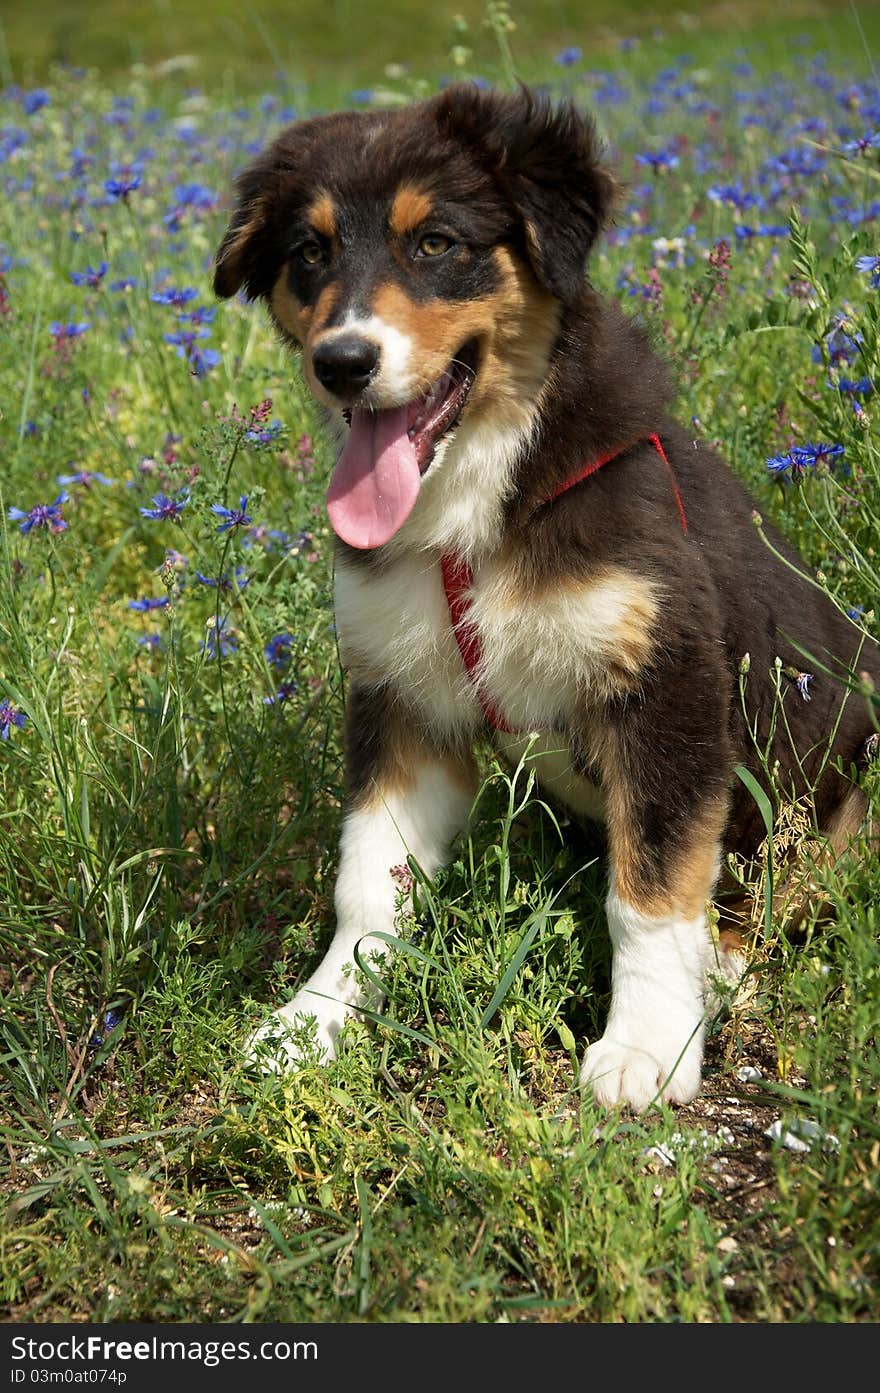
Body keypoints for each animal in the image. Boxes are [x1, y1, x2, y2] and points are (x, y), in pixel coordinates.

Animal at [214, 84, 880, 1108]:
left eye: (436, 243)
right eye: (309, 253)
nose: (343, 360)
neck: (479, 512)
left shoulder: (668, 689)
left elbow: (650, 892)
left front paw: (647, 1045)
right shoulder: (404, 699)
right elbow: (368, 883)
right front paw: (315, 1022)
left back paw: (722, 970)